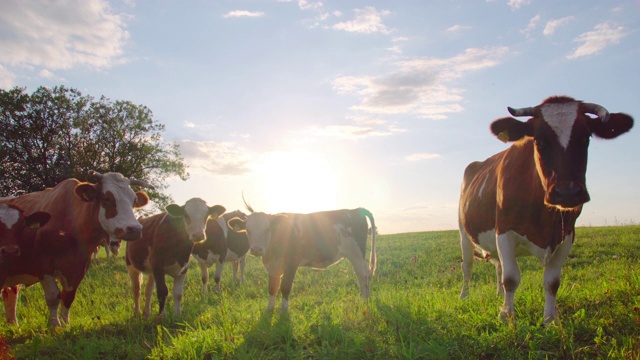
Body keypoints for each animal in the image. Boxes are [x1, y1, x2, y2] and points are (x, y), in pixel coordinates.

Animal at [0, 171, 151, 326]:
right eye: (107, 198)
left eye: (133, 201)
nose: (135, 229)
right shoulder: (44, 267)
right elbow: (53, 297)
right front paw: (55, 325)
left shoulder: (79, 268)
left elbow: (68, 296)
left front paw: (65, 323)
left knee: (11, 293)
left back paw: (13, 323)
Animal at [230, 202, 378, 312]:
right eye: (247, 230)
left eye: (267, 229)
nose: (256, 249)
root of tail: (355, 210)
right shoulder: (273, 266)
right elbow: (272, 287)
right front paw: (269, 310)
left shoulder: (291, 263)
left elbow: (285, 286)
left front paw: (284, 310)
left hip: (356, 254)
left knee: (363, 275)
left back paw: (365, 301)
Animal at [458, 96, 632, 326]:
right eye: (538, 141)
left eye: (585, 138)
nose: (567, 192)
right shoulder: (504, 231)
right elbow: (510, 278)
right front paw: (507, 316)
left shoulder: (567, 235)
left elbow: (552, 282)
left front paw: (550, 320)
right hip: (464, 234)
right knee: (468, 267)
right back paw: (464, 296)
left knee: (497, 266)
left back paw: (498, 295)